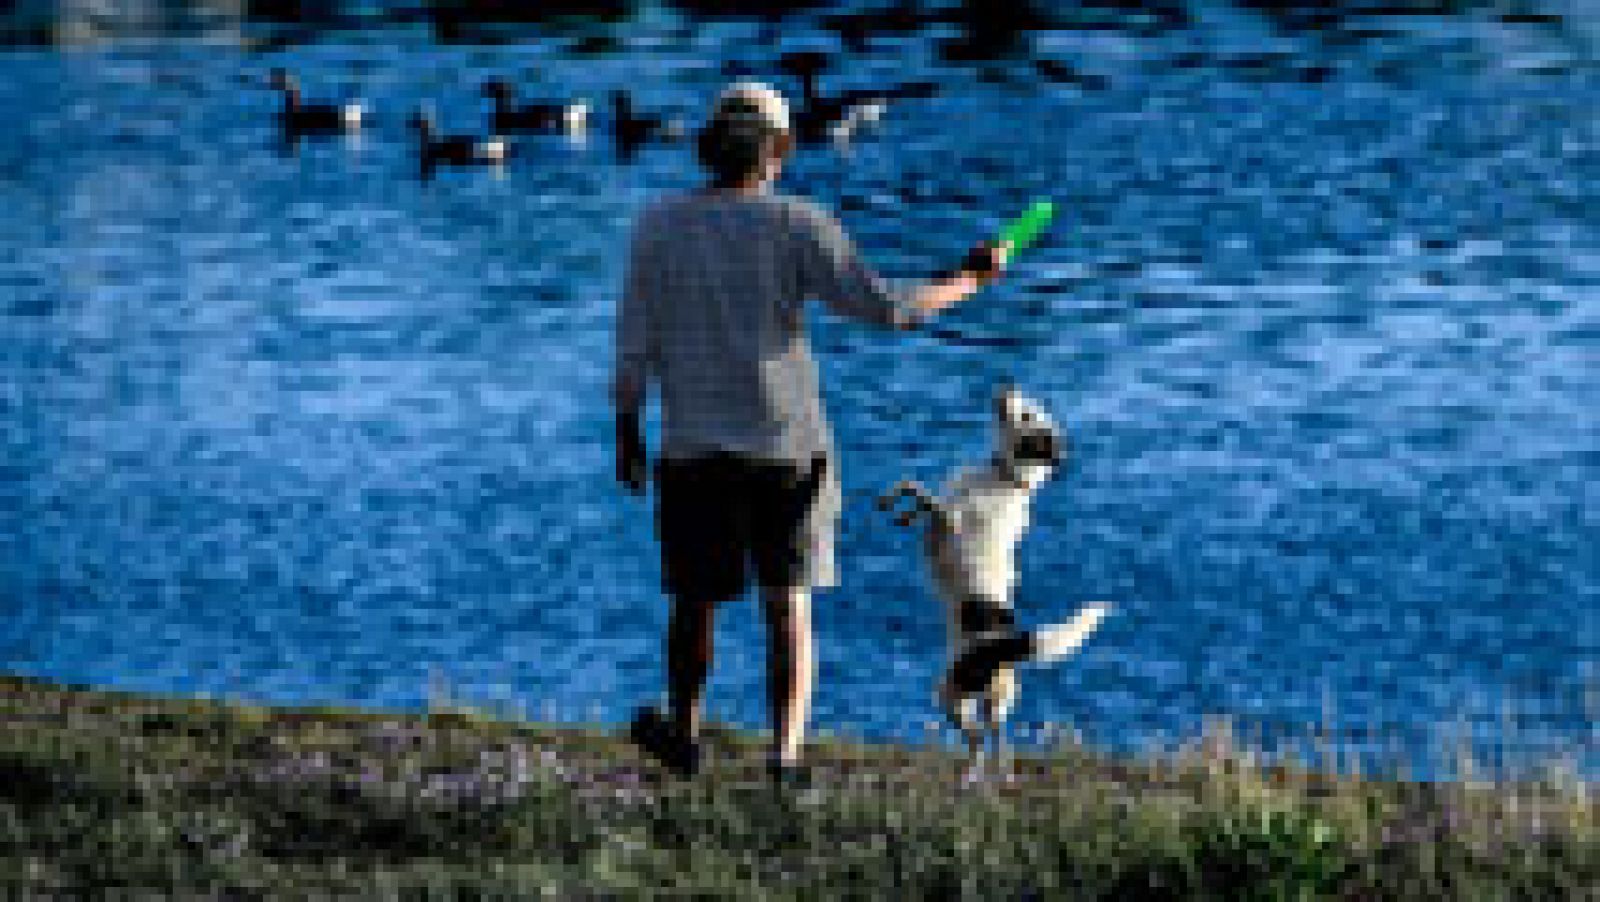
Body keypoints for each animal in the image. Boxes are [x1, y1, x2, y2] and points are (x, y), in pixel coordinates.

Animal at [876, 383, 1113, 770]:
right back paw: (989, 777)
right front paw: (903, 513)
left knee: (976, 740)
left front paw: (897, 503)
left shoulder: (947, 526)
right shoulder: (941, 523)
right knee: (995, 743)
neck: (1005, 478)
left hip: (952, 692)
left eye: (1028, 414)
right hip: (991, 703)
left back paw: (972, 774)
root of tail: (1011, 647)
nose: (1007, 383)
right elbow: (922, 497)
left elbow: (922, 493)